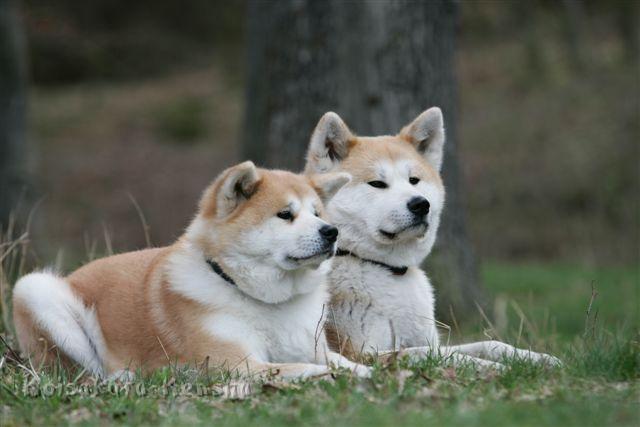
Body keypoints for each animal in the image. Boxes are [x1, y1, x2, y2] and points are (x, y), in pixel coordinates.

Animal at [11, 162, 370, 380]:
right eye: (285, 214)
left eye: (317, 213)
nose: (332, 231)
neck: (268, 303)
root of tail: (75, 274)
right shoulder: (236, 363)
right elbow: (301, 368)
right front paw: (348, 376)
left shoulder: (312, 345)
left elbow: (339, 361)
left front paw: (365, 369)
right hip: (34, 289)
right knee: (80, 371)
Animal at [304, 108, 560, 370]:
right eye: (377, 183)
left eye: (414, 180)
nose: (420, 204)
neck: (386, 269)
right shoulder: (364, 354)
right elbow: (444, 356)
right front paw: (497, 369)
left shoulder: (429, 340)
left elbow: (490, 345)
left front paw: (536, 359)